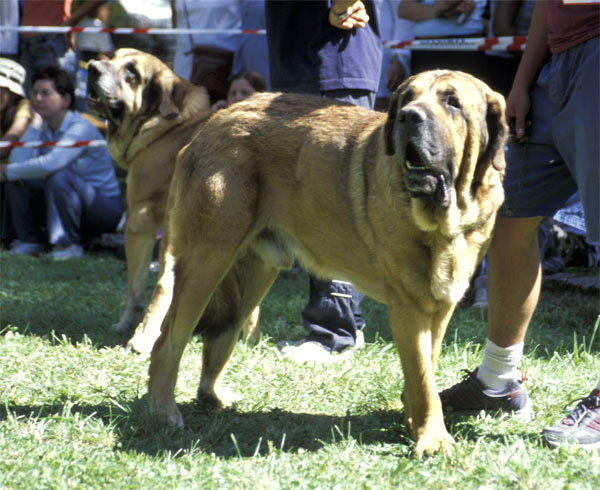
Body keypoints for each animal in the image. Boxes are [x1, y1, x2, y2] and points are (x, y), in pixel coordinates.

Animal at [149, 69, 506, 456]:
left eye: (452, 102)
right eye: (408, 98)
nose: (409, 116)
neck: (448, 219)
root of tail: (212, 123)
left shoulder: (439, 307)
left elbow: (426, 368)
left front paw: (415, 424)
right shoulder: (408, 308)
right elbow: (423, 378)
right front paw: (433, 439)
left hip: (254, 274)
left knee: (221, 336)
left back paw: (213, 397)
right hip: (207, 260)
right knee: (168, 342)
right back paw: (163, 413)